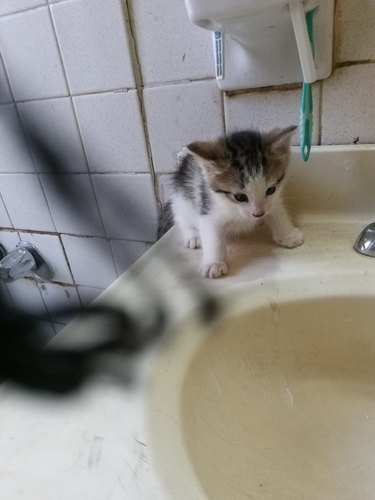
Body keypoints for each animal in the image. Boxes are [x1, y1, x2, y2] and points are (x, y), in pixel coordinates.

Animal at [159, 126, 306, 278]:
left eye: (271, 189)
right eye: (240, 197)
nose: (258, 214)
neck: (234, 208)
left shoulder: (273, 200)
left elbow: (277, 212)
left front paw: (288, 235)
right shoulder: (208, 208)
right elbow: (213, 236)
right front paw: (214, 264)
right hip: (181, 200)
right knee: (181, 218)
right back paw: (193, 236)